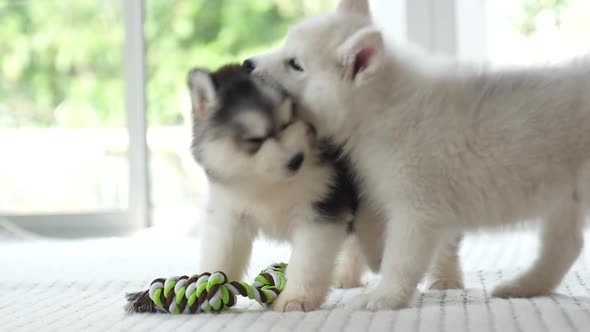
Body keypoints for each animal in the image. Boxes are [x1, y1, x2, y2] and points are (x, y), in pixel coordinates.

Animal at [249, 0, 590, 310]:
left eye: (295, 64)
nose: (247, 64)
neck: (382, 108)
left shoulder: (416, 209)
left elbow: (400, 259)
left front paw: (384, 296)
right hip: (565, 198)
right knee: (566, 246)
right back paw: (525, 286)